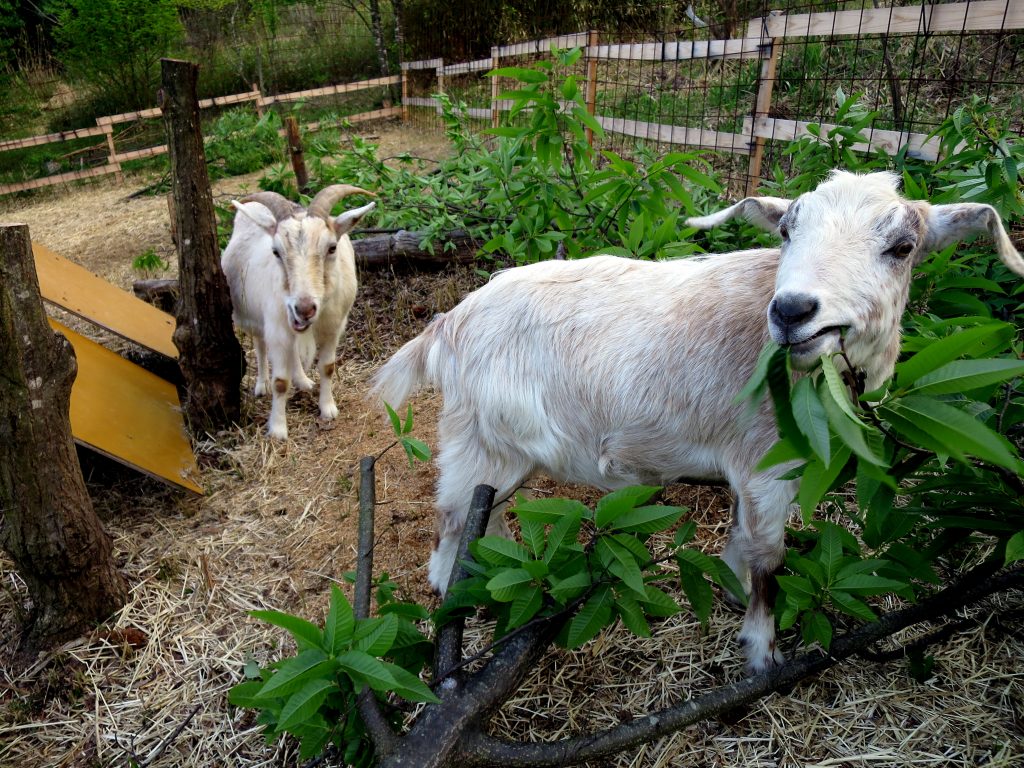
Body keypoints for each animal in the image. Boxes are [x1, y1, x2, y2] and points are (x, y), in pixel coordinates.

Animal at [222, 183, 374, 442]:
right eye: (276, 251)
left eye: (332, 248)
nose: (304, 308)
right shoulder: (276, 328)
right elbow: (280, 382)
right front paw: (278, 429)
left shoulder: (333, 328)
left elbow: (328, 367)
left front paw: (328, 408)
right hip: (254, 318)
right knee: (260, 345)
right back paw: (262, 385)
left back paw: (303, 381)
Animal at [370, 169, 1024, 671]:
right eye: (787, 231)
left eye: (902, 246)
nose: (793, 311)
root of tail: (448, 324)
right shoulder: (766, 466)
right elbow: (769, 561)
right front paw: (763, 652)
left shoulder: (752, 466)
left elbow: (741, 539)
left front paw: (732, 591)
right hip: (479, 439)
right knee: (452, 519)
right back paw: (452, 589)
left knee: (482, 514)